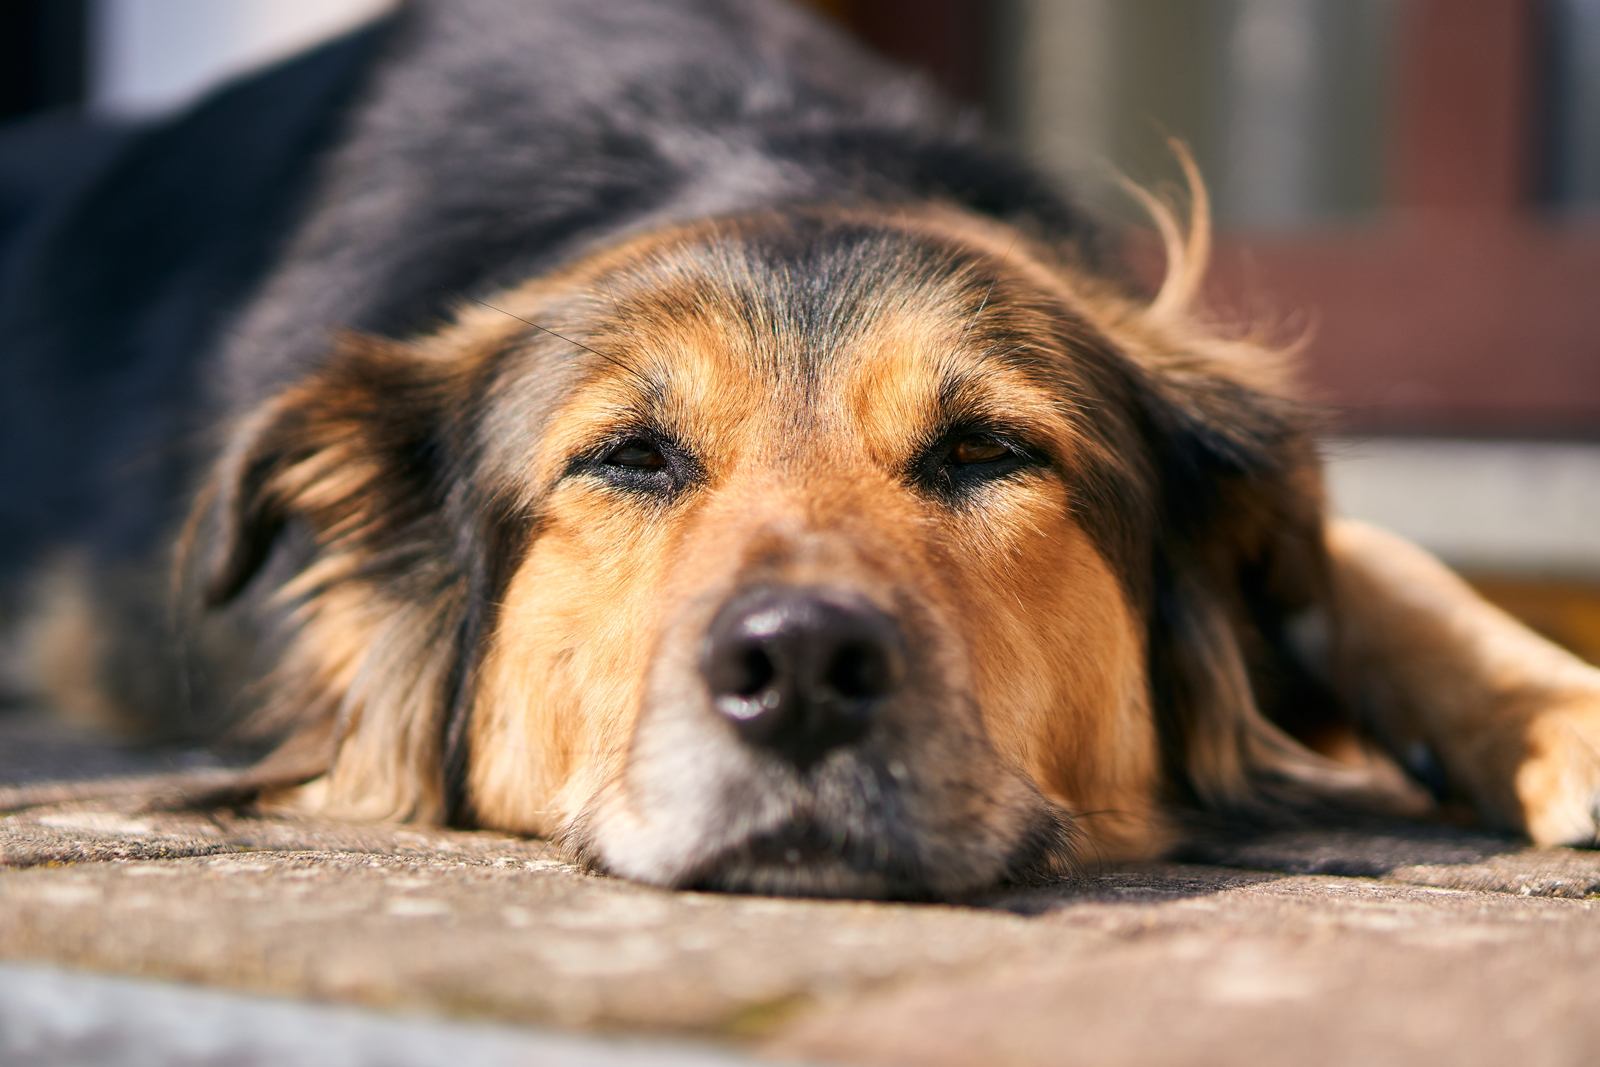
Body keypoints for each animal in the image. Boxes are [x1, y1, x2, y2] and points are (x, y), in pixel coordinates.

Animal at [3, 0, 1600, 902]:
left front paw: (1557, 714)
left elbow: (1376, 562)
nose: (803, 673)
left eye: (985, 447)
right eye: (629, 457)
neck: (750, 151)